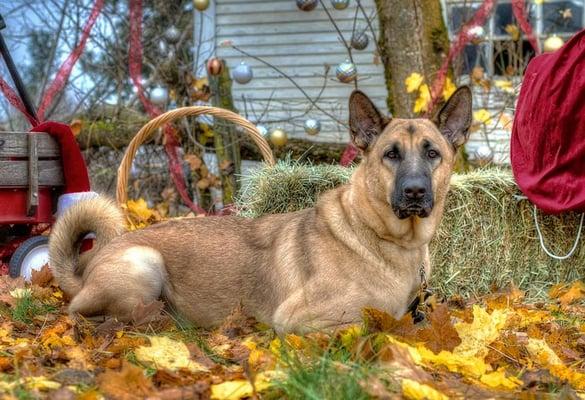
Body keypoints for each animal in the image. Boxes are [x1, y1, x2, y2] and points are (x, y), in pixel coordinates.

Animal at [48, 87, 472, 334]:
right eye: (391, 155)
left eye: (432, 153)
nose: (415, 191)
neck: (383, 237)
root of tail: (86, 269)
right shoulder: (302, 319)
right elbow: (371, 324)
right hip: (144, 263)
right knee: (88, 314)